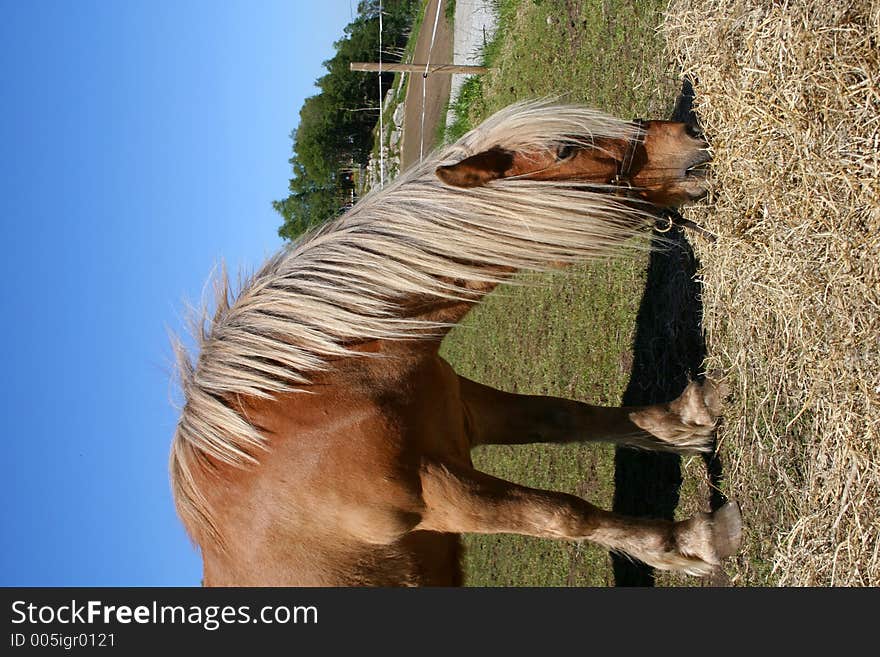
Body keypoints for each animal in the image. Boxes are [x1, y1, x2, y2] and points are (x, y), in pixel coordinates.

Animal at [168, 101, 740, 584]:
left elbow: (564, 416)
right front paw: (689, 542)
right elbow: (562, 514)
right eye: (564, 150)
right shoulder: (439, 497)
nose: (688, 135)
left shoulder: (464, 411)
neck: (329, 390)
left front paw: (688, 421)